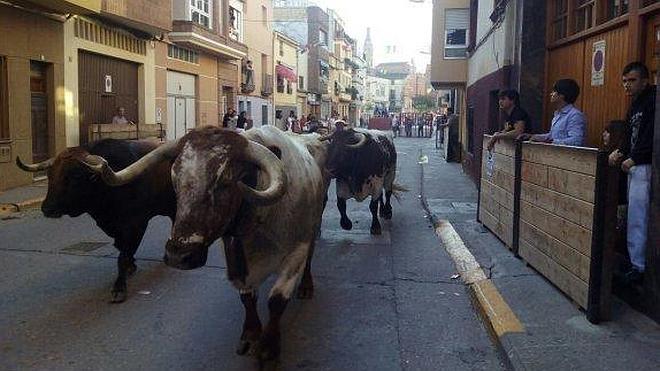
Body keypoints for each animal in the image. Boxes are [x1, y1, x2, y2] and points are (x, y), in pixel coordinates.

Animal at [17, 139, 177, 302]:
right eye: (50, 175)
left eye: (75, 176)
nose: (47, 208)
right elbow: (122, 248)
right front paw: (131, 266)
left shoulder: (136, 224)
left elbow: (122, 256)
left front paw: (119, 288)